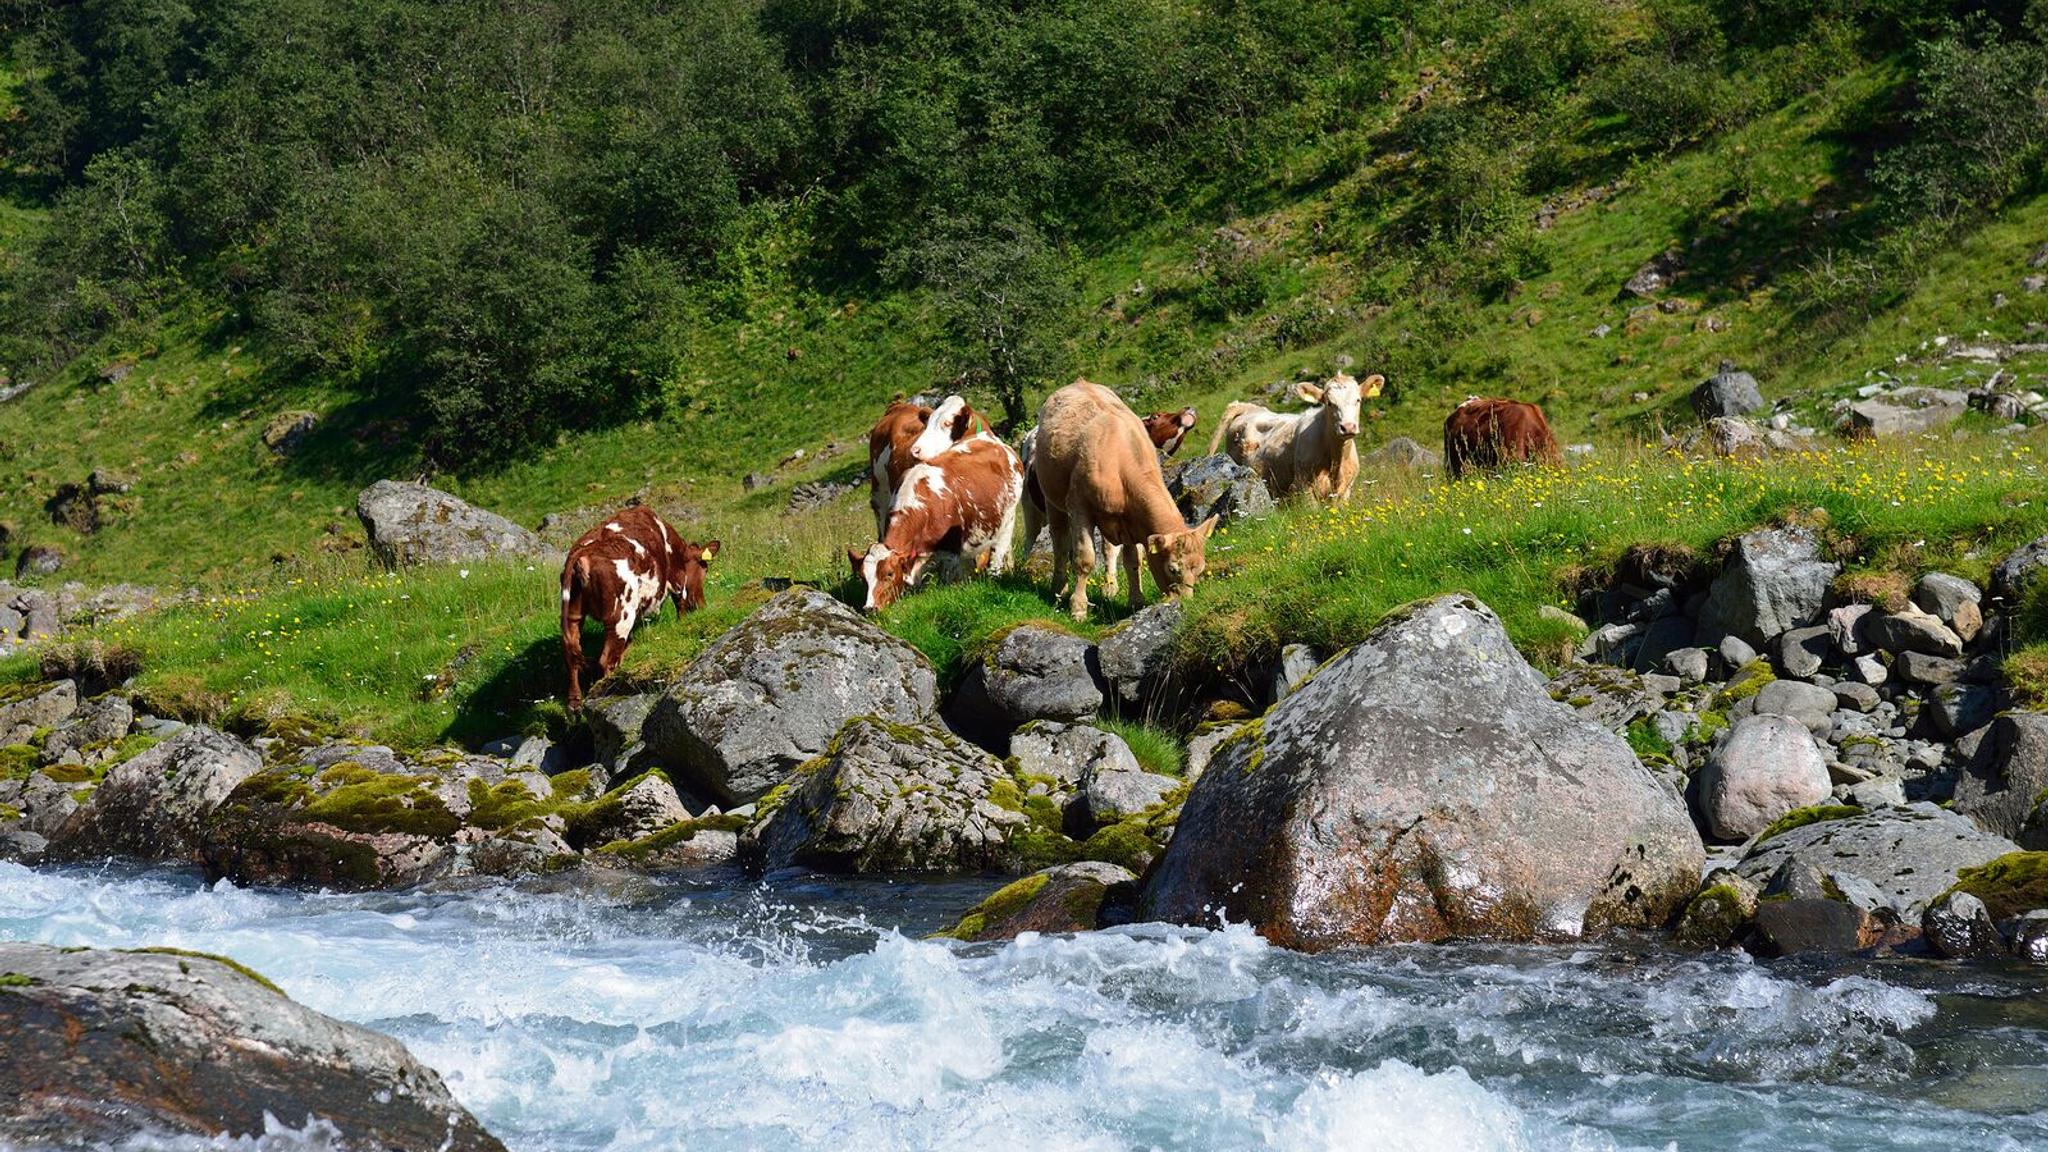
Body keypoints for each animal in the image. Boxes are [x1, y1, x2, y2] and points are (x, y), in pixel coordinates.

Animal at [560, 506, 718, 711]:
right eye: (704, 568)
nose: (702, 605)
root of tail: (581, 555)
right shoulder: (677, 579)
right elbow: (680, 604)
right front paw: (683, 623)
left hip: (572, 615)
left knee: (571, 655)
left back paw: (575, 704)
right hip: (620, 615)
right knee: (606, 659)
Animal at [848, 434, 1023, 612]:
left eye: (889, 573)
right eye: (863, 577)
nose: (869, 608)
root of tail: (994, 441)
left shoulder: (951, 552)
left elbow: (948, 580)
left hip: (1008, 520)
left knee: (999, 551)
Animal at [1033, 379, 1218, 621]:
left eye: (1200, 569)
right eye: (1172, 569)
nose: (1183, 603)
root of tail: (1079, 381)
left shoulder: (1132, 521)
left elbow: (1133, 561)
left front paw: (1136, 601)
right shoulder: (1080, 508)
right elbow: (1084, 560)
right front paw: (1078, 608)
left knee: (1108, 549)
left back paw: (1109, 587)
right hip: (1052, 498)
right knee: (1059, 541)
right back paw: (1059, 587)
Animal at [1209, 373, 1384, 502]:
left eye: (1358, 400)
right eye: (1329, 403)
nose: (1348, 427)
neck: (1336, 461)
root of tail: (1251, 408)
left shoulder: (1346, 489)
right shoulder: (1303, 486)